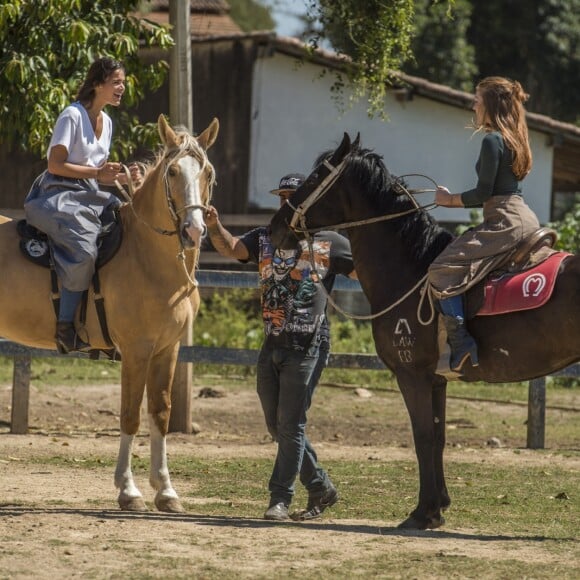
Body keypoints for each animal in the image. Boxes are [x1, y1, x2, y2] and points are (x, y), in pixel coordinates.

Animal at [0, 114, 218, 512]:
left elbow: (160, 413)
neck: (146, 255)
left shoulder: (168, 350)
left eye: (207, 172)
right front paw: (128, 490)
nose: (194, 230)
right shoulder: (136, 351)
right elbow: (130, 415)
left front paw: (166, 490)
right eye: (173, 171)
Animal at [270, 131, 580, 532]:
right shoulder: (437, 380)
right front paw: (439, 506)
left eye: (314, 178)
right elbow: (439, 437)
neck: (413, 269)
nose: (276, 226)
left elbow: (423, 437)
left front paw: (423, 512)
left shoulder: (412, 375)